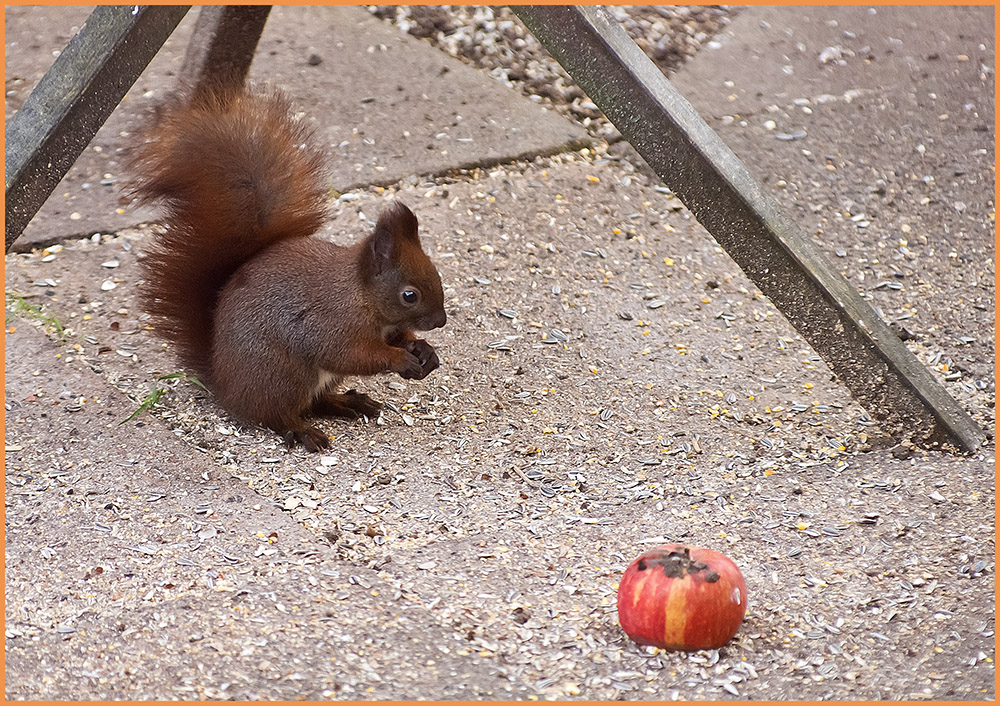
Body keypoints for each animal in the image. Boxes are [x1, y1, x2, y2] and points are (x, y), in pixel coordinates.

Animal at [128, 85, 446, 448]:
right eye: (410, 295)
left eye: (436, 274)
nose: (440, 321)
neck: (361, 296)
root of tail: (226, 386)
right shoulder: (333, 325)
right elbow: (353, 355)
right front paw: (400, 359)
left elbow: (398, 338)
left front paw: (423, 349)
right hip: (283, 376)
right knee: (278, 415)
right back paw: (305, 431)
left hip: (314, 380)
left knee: (315, 402)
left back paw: (347, 402)